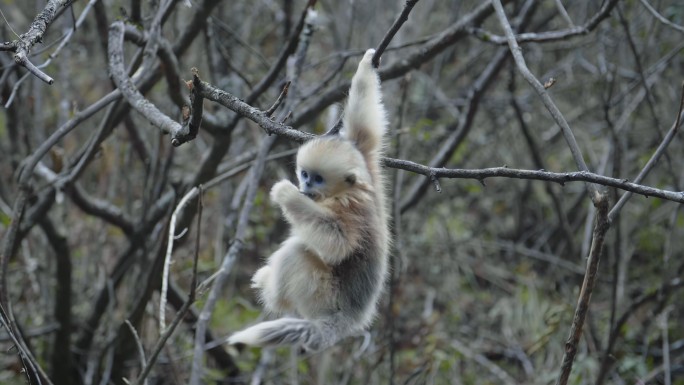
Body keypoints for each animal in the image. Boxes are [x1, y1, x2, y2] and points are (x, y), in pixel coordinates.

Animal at [230, 48, 390, 352]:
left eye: (316, 178)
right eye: (304, 174)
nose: (304, 185)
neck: (346, 191)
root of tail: (347, 322)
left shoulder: (350, 209)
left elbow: (338, 244)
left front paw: (286, 193)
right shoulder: (366, 158)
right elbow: (364, 126)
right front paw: (367, 63)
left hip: (321, 297)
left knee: (297, 250)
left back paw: (271, 291)